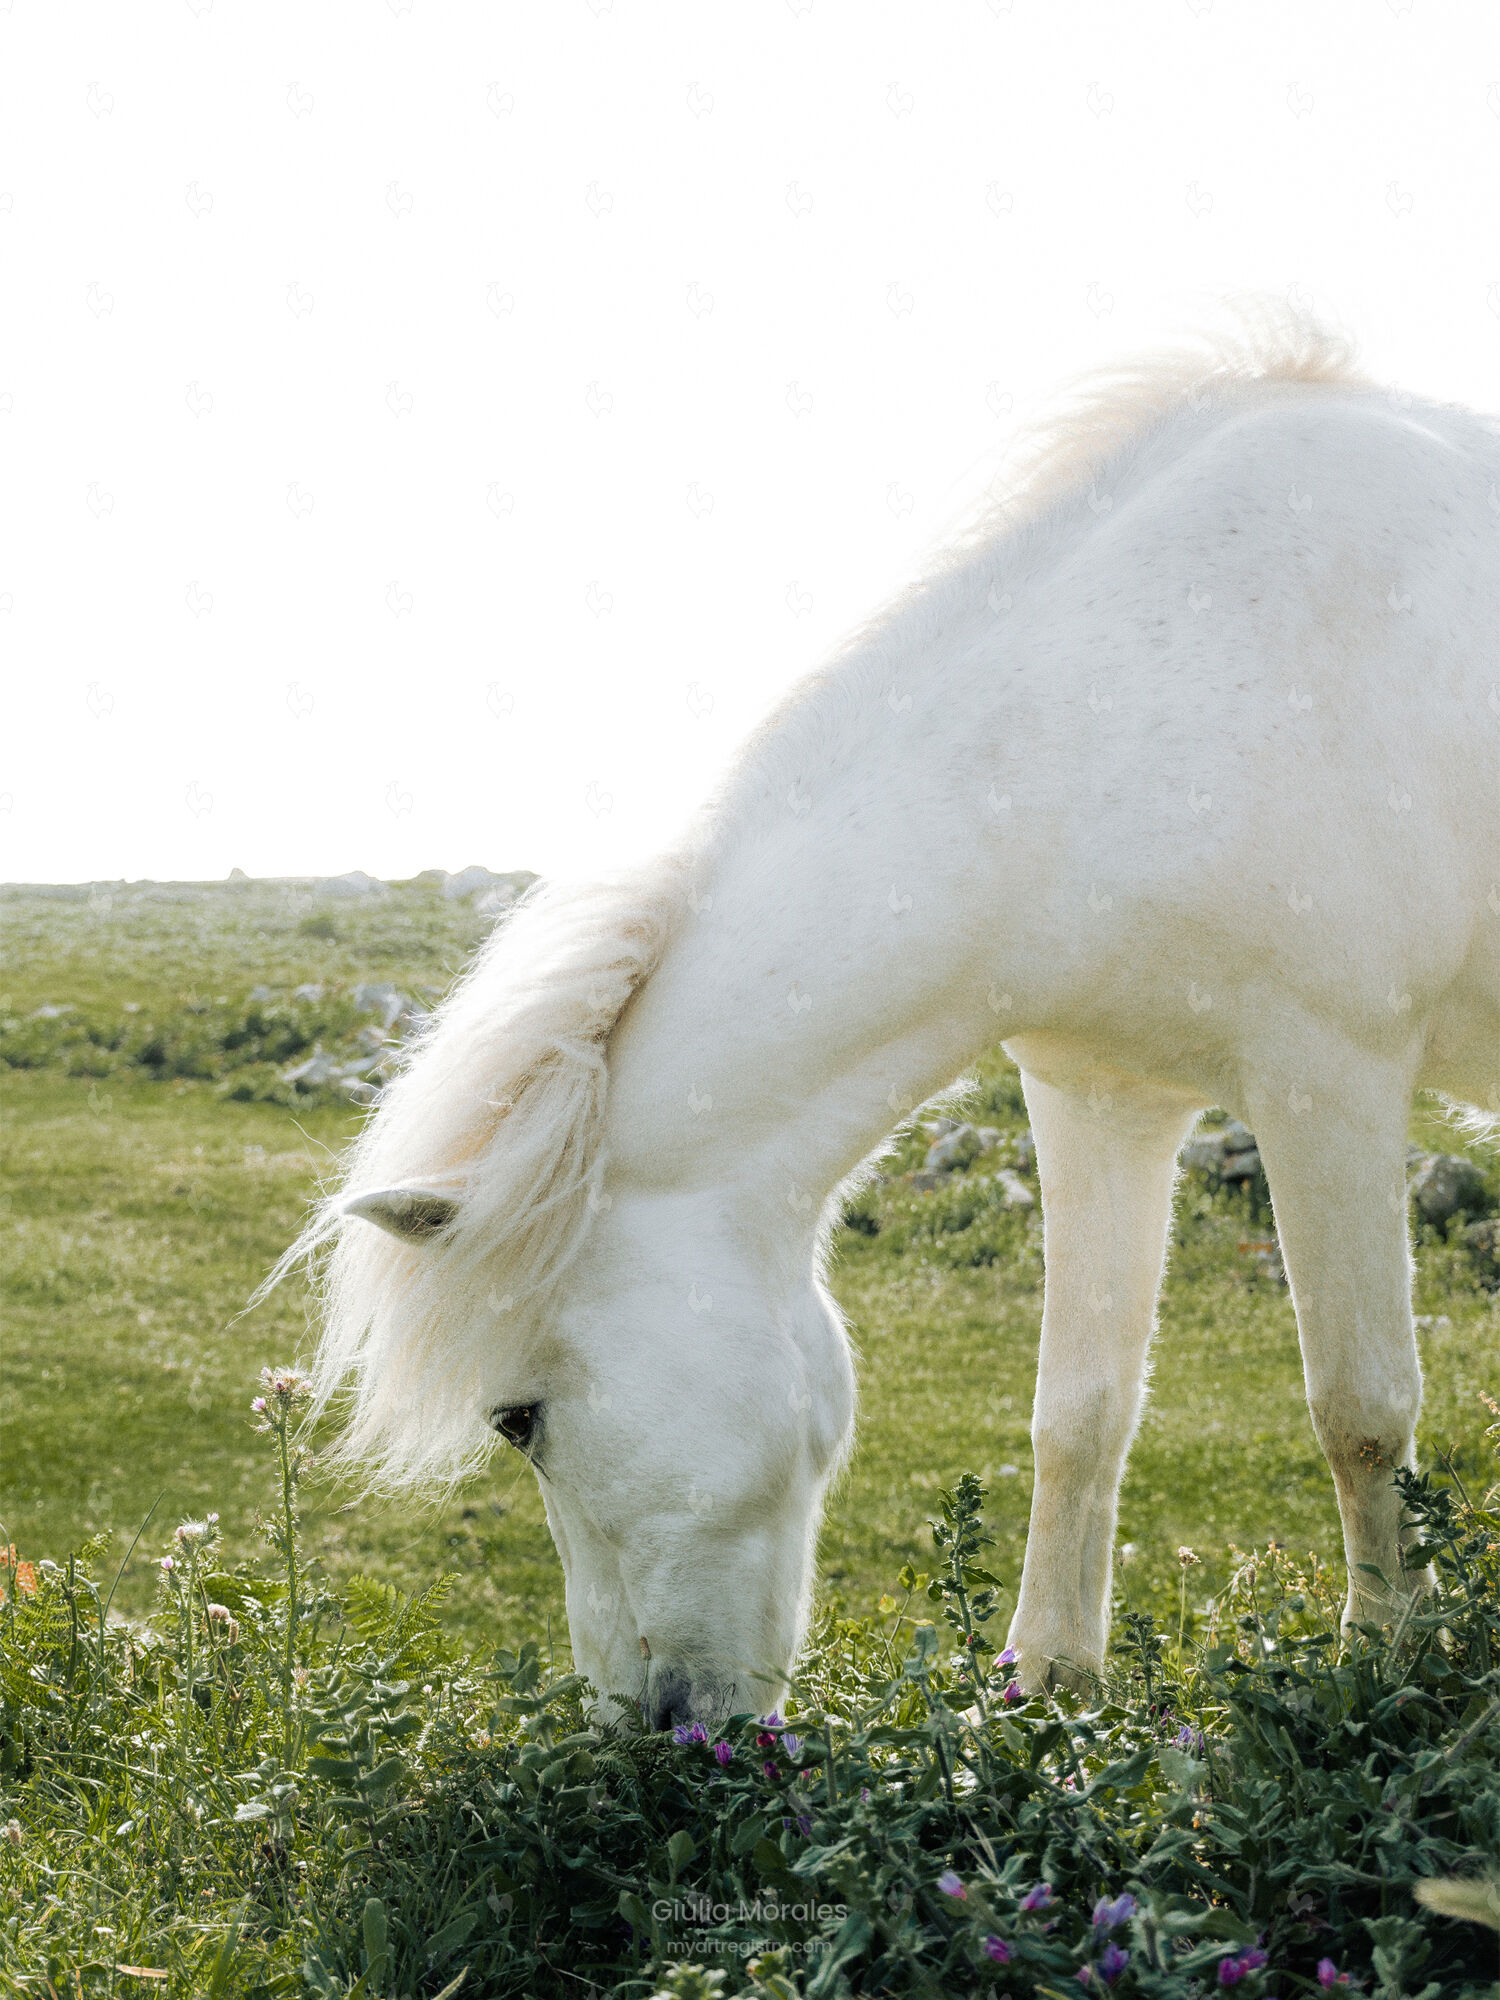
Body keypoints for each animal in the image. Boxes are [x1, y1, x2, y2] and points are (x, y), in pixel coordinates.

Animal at [280, 308, 1500, 1728]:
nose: (647, 1725)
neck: (1129, 698)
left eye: (515, 1416)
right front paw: (1043, 1680)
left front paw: (1392, 1670)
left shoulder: (1327, 1082)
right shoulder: (1102, 1097)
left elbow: (1360, 1408)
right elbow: (1080, 1410)